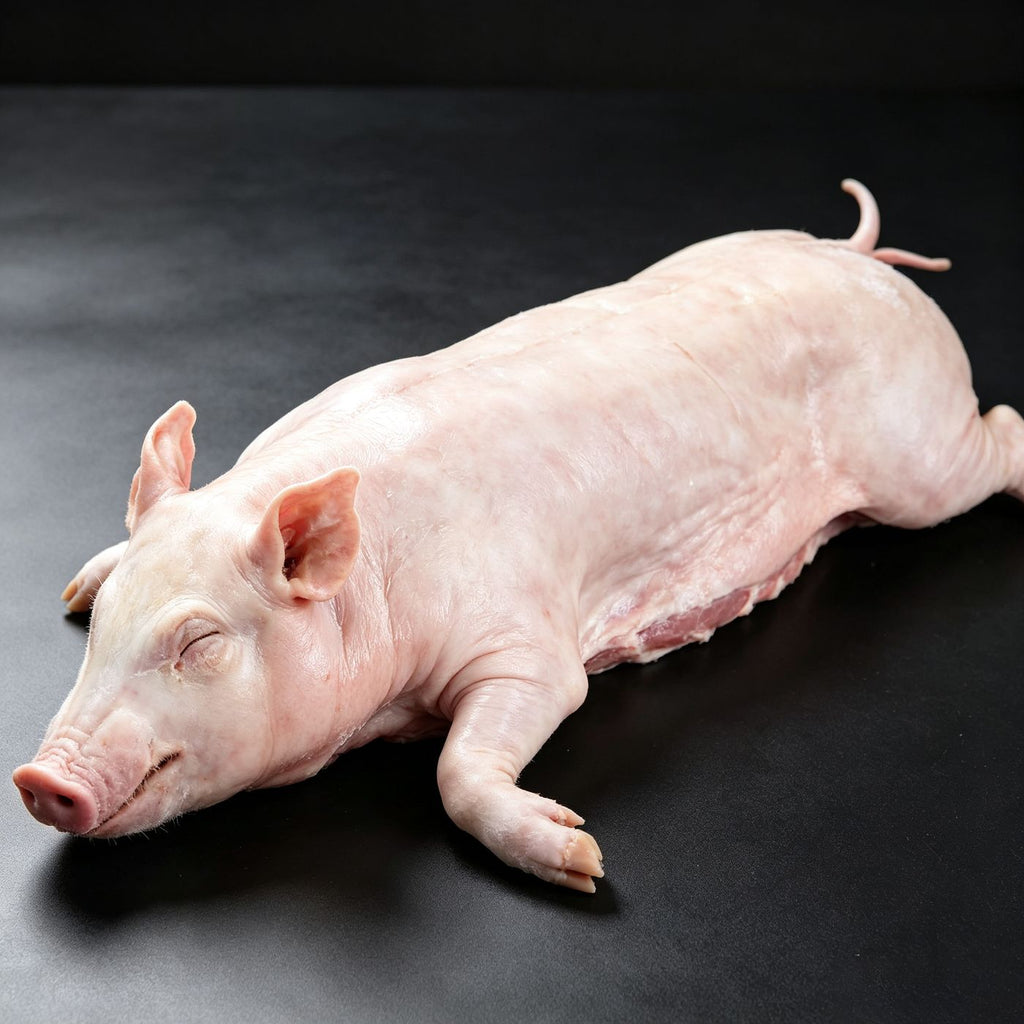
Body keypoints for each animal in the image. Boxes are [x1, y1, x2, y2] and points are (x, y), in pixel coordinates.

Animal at [13, 180, 1024, 893]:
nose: (38, 779)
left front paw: (581, 862)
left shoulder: (525, 643)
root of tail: (861, 259)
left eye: (199, 643)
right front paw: (74, 582)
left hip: (920, 451)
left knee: (996, 433)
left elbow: (471, 758)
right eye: (100, 626)